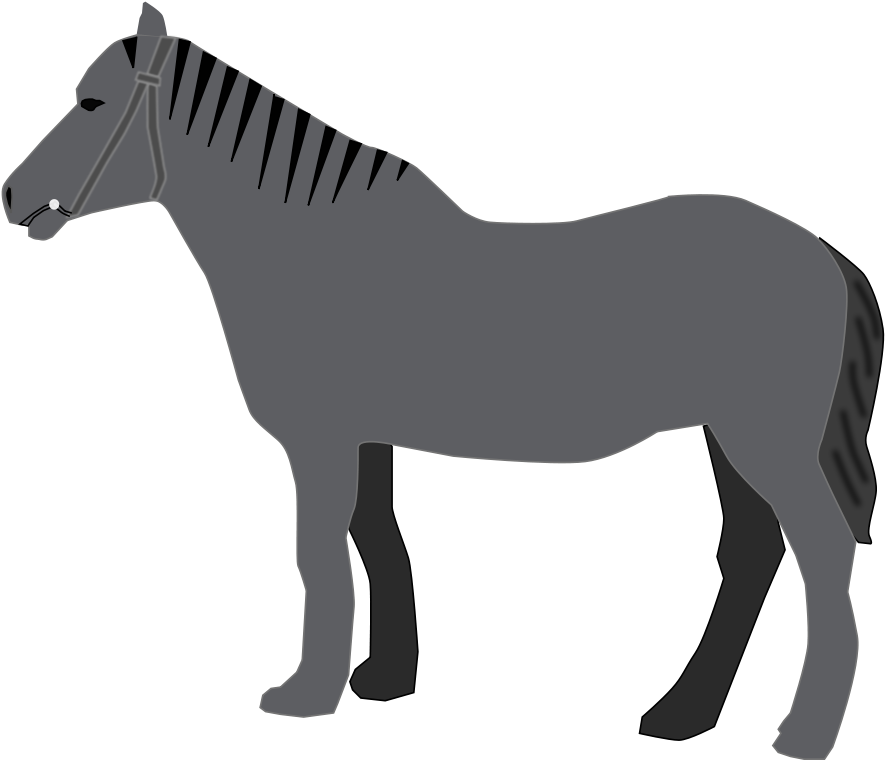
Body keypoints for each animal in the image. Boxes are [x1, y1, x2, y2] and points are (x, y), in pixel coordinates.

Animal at [4, 4, 878, 755]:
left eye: (92, 103)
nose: (10, 196)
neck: (306, 250)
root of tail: (823, 254)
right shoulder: (364, 439)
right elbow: (376, 539)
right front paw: (380, 679)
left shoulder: (318, 441)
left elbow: (317, 552)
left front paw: (305, 695)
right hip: (728, 442)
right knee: (753, 557)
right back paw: (683, 714)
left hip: (768, 445)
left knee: (821, 554)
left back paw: (805, 734)